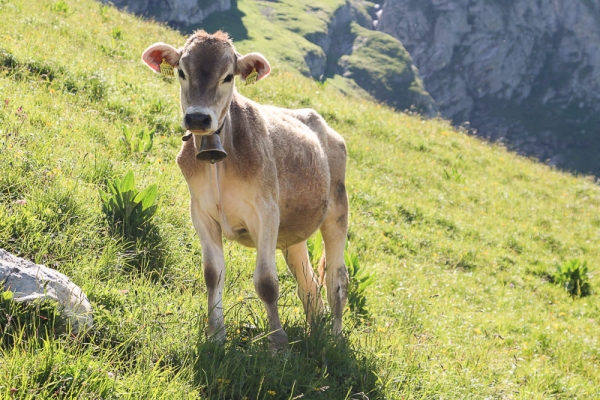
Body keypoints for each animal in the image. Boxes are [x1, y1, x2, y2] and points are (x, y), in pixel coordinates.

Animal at [141, 30, 350, 350]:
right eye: (181, 72)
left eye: (228, 77)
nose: (198, 118)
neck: (216, 160)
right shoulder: (201, 212)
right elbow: (212, 274)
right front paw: (216, 335)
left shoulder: (266, 213)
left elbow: (266, 282)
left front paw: (278, 344)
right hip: (293, 234)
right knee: (309, 285)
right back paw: (316, 334)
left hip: (337, 213)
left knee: (336, 281)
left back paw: (336, 340)